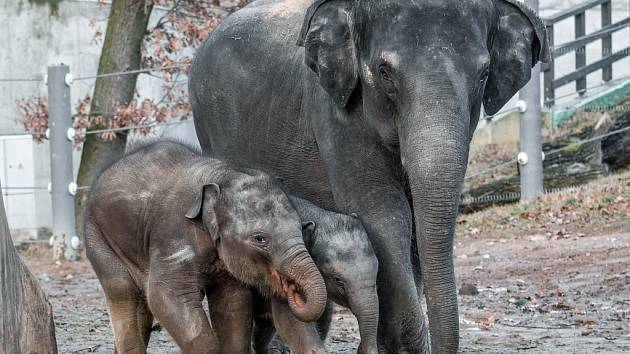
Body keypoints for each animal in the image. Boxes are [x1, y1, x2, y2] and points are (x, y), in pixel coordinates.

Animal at [252, 196, 380, 354]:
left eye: (376, 271)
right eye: (338, 280)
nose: (360, 348)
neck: (317, 215)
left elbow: (323, 313)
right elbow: (290, 318)